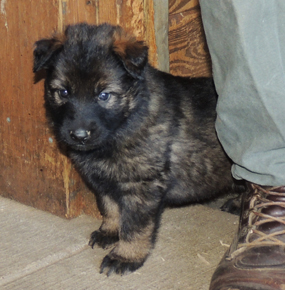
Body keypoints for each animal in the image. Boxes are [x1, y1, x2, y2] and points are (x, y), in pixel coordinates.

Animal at [33, 23, 233, 276]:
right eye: (64, 92)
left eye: (104, 95)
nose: (79, 135)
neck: (126, 120)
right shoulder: (105, 181)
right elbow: (110, 208)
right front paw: (109, 232)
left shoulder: (141, 186)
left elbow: (134, 226)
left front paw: (126, 256)